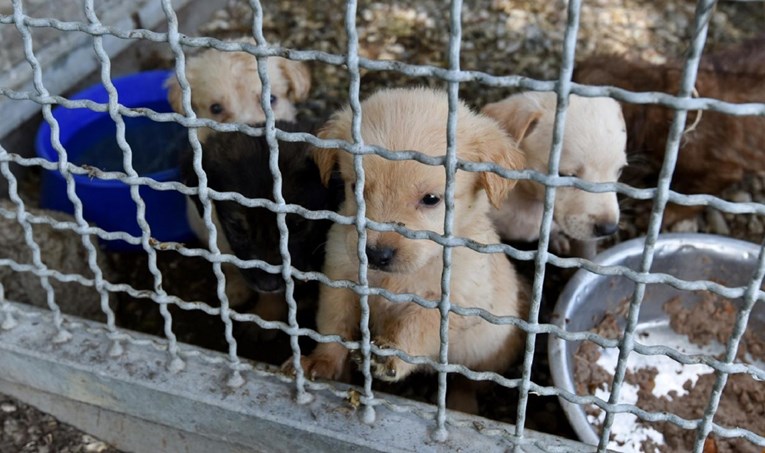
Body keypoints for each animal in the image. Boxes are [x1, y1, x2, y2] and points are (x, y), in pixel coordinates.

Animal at [290, 86, 528, 412]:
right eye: (356, 189)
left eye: (431, 199)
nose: (377, 254)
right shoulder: (341, 278)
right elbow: (334, 326)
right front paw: (321, 362)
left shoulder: (453, 301)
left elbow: (418, 327)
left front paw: (390, 355)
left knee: (467, 382)